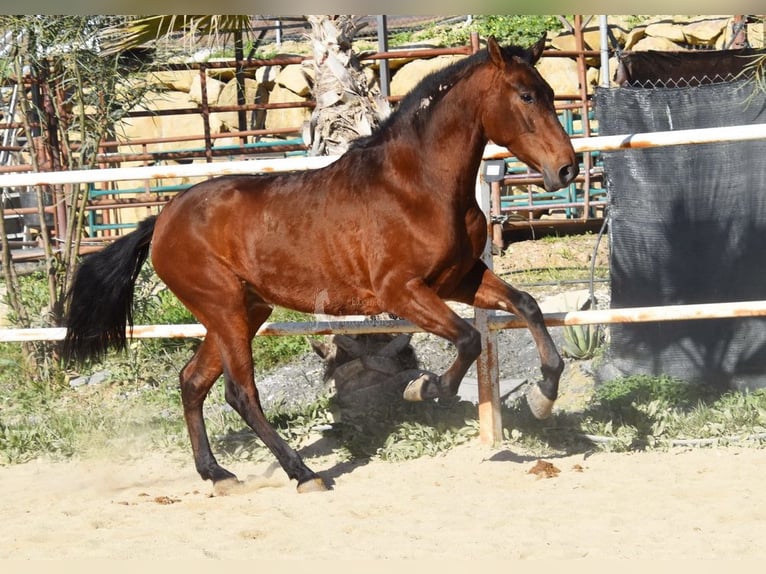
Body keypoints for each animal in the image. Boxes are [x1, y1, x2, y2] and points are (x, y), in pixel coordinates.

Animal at [63, 37, 580, 496]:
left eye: (550, 92)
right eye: (526, 95)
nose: (567, 169)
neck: (418, 184)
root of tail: (162, 219)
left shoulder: (459, 278)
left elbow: (527, 306)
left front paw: (543, 395)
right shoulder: (400, 291)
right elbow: (470, 337)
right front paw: (427, 388)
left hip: (243, 312)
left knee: (192, 382)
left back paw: (218, 475)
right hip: (224, 310)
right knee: (240, 393)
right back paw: (303, 473)